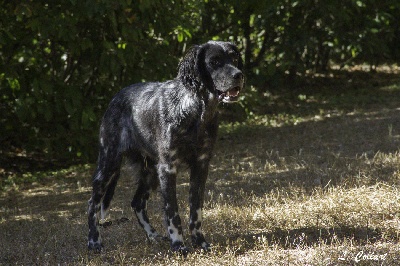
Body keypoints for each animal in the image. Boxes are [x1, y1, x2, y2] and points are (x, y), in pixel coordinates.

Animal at [87, 41, 244, 254]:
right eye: (214, 61)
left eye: (234, 58)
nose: (239, 75)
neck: (197, 111)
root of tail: (115, 98)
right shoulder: (168, 168)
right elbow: (172, 211)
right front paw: (178, 245)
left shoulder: (201, 165)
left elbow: (196, 211)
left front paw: (200, 242)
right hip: (108, 164)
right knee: (93, 204)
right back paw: (94, 241)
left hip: (150, 173)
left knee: (137, 203)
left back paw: (152, 236)